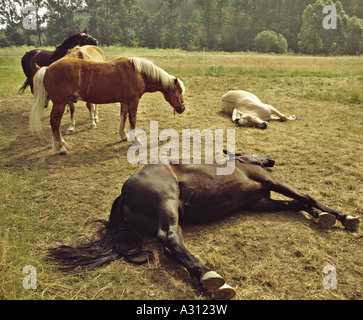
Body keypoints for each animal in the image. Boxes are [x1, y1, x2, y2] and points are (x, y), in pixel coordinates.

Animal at [29, 57, 186, 156]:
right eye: (178, 91)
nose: (182, 108)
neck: (139, 73)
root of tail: (48, 69)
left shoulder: (124, 101)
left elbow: (124, 117)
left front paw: (123, 135)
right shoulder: (133, 101)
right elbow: (132, 119)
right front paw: (136, 139)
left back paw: (59, 143)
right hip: (60, 103)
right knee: (55, 122)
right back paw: (61, 149)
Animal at [47, 153, 360, 300]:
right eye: (255, 154)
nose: (271, 159)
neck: (239, 163)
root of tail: (124, 191)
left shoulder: (261, 203)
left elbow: (296, 204)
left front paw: (322, 215)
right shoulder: (271, 181)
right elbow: (305, 196)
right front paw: (344, 217)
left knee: (168, 247)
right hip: (168, 202)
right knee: (169, 237)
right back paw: (211, 276)